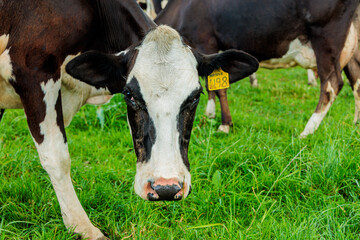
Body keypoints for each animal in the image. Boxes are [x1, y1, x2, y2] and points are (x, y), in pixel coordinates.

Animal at [0, 0, 258, 238]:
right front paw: (83, 226)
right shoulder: (34, 70)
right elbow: (57, 157)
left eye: (195, 97)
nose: (165, 188)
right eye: (130, 95)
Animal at [156, 0, 360, 137]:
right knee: (356, 82)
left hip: (326, 37)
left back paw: (307, 130)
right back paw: (356, 123)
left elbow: (218, 87)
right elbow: (209, 85)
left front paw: (225, 124)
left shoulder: (206, 42)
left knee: (332, 85)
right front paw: (210, 113)